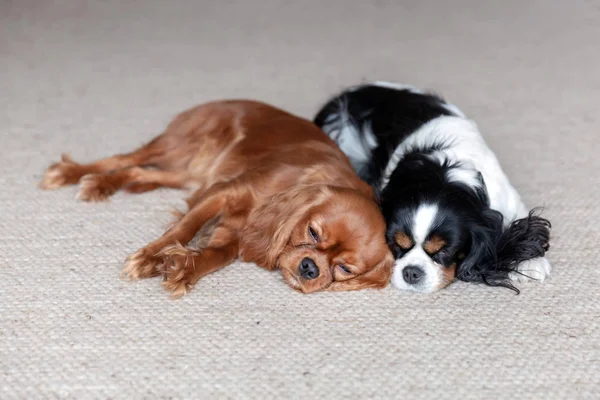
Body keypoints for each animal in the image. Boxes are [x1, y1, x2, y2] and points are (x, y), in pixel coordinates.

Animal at [38, 101, 394, 296]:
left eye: (344, 268)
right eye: (312, 232)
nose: (310, 268)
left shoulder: (231, 232)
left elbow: (216, 255)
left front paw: (183, 268)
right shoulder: (224, 192)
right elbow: (184, 229)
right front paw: (150, 258)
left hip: (185, 172)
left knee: (138, 172)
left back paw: (104, 184)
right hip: (178, 147)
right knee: (124, 158)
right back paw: (79, 176)